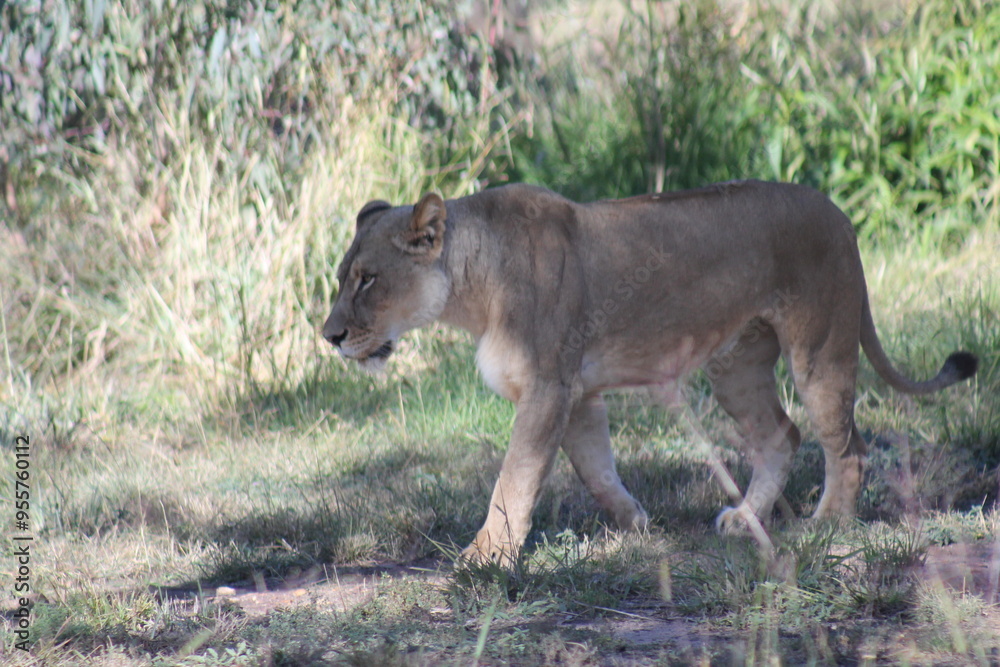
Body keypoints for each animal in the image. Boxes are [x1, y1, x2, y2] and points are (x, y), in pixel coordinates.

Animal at [322, 181, 977, 563]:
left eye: (368, 279)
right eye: (341, 278)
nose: (329, 336)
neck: (471, 292)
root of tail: (840, 214)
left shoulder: (548, 387)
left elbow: (512, 481)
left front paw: (484, 559)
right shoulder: (577, 394)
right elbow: (593, 469)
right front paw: (634, 523)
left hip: (819, 350)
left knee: (848, 446)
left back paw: (827, 526)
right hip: (735, 365)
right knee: (781, 436)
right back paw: (746, 521)